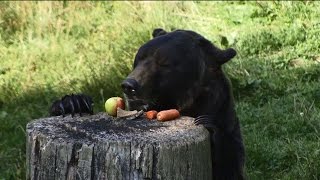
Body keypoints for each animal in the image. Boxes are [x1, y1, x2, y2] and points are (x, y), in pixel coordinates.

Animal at [120, 28, 245, 179]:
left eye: (164, 63)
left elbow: (231, 162)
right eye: (139, 59)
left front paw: (207, 122)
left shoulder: (223, 112)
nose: (129, 85)